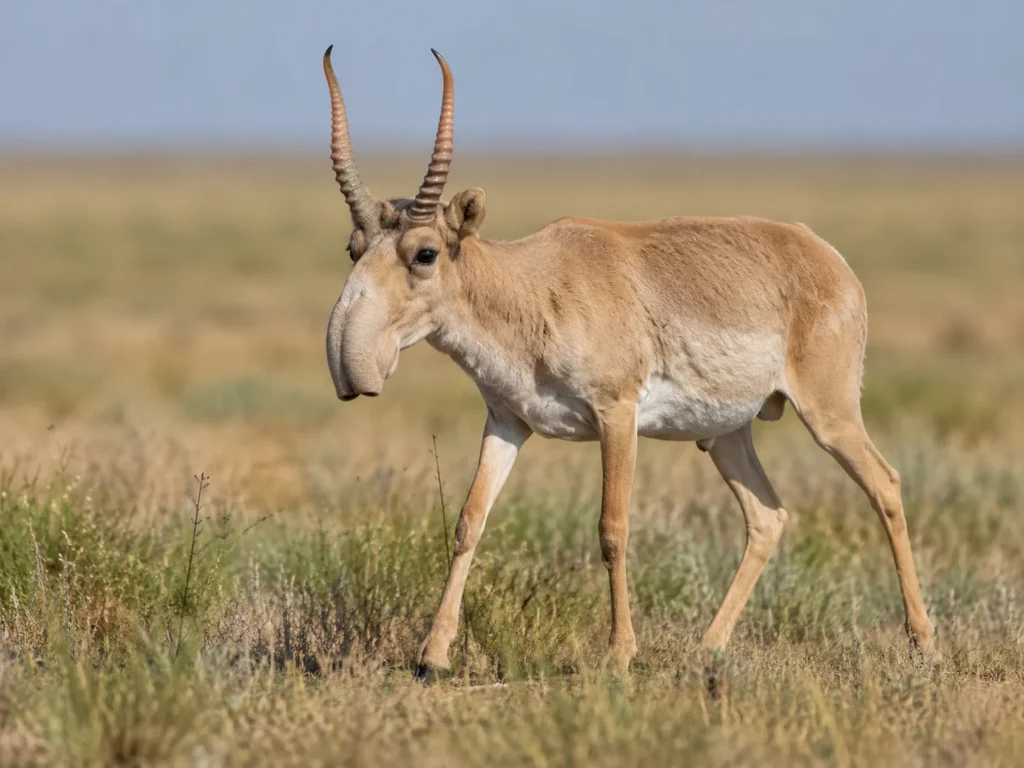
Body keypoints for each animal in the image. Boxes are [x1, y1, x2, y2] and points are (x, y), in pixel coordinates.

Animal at [320, 46, 939, 678]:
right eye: (353, 248)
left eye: (424, 253)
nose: (350, 363)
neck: (532, 284)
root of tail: (824, 255)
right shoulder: (508, 423)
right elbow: (470, 521)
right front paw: (433, 655)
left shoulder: (616, 417)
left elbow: (611, 528)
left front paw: (619, 653)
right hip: (726, 435)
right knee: (767, 516)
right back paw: (706, 647)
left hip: (829, 415)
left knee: (885, 485)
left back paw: (925, 643)